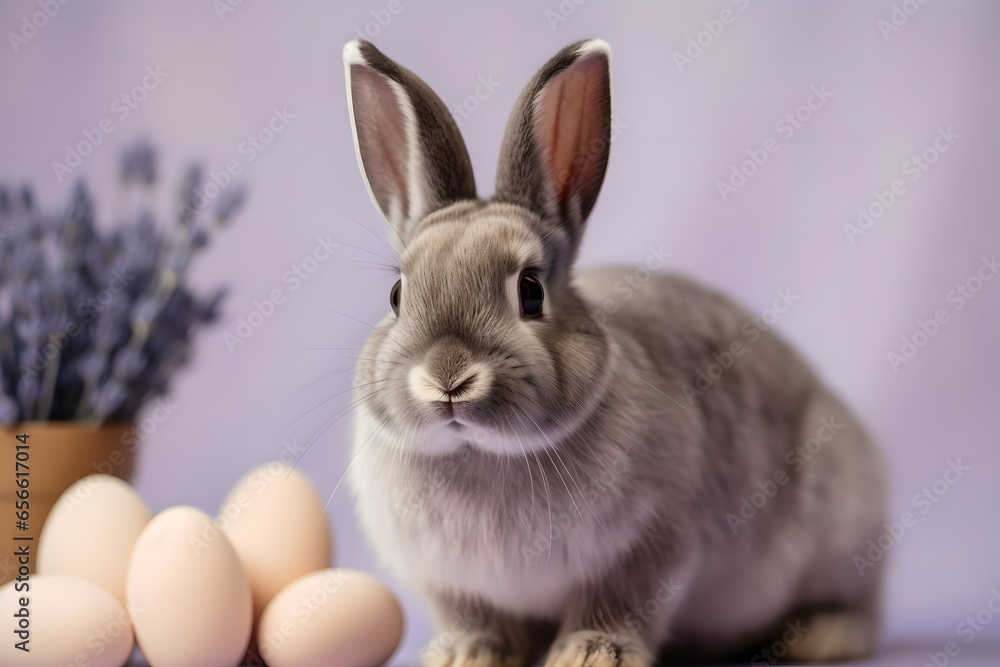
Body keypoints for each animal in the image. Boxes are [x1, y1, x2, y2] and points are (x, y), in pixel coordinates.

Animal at [342, 38, 887, 667]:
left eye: (531, 291)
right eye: (397, 295)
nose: (447, 379)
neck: (481, 453)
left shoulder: (648, 548)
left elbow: (617, 605)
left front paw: (589, 655)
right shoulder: (451, 584)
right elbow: (474, 619)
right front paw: (466, 655)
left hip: (841, 533)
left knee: (860, 607)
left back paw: (821, 636)